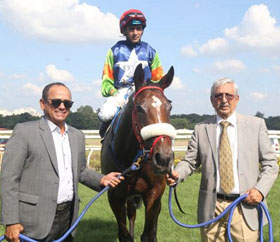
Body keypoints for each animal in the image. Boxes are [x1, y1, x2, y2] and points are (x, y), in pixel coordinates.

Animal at [100, 64, 175, 242]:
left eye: (169, 107)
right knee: (132, 214)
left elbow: (149, 234)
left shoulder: (155, 192)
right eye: (140, 108)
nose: (164, 159)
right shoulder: (114, 195)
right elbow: (124, 234)